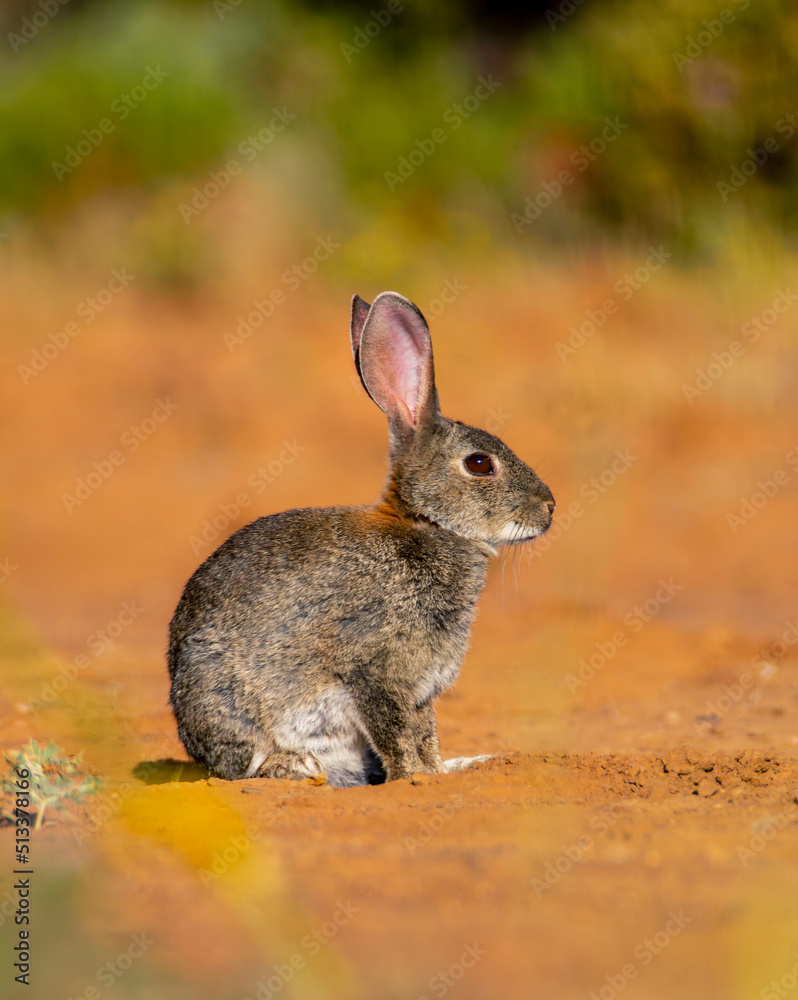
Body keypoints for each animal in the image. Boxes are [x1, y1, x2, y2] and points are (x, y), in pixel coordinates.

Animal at [168, 290, 555, 787]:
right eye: (480, 464)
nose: (549, 507)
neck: (427, 524)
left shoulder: (418, 690)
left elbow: (424, 735)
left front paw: (441, 771)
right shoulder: (373, 671)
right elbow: (396, 734)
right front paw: (413, 779)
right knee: (241, 767)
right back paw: (293, 766)